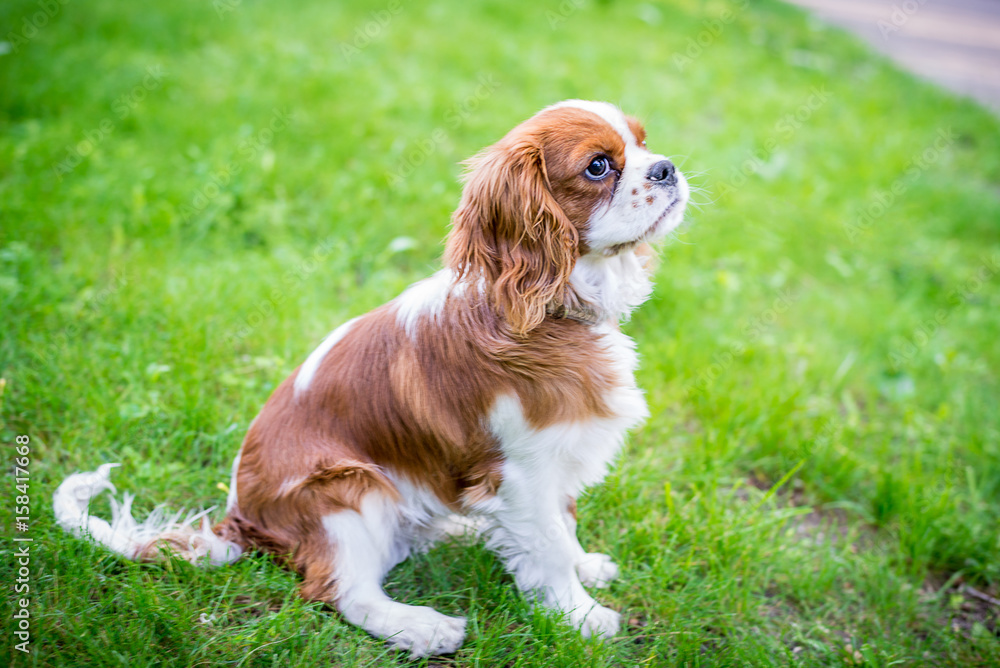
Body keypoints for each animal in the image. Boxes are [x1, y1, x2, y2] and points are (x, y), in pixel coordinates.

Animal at [54, 99, 688, 656]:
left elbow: (563, 522)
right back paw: (422, 627)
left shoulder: (554, 461)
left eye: (644, 142)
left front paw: (584, 568)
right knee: (340, 590)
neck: (554, 309)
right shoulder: (521, 469)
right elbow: (549, 542)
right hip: (349, 491)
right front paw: (580, 615)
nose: (665, 168)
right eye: (598, 166)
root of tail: (241, 521)